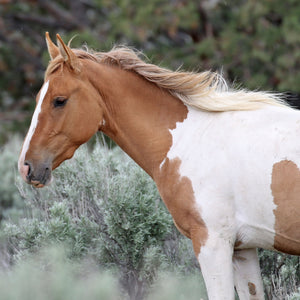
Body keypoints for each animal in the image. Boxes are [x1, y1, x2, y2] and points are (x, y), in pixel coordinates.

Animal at [18, 31, 300, 298]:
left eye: (59, 100)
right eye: (38, 97)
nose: (26, 166)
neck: (189, 139)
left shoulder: (213, 242)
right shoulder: (243, 248)